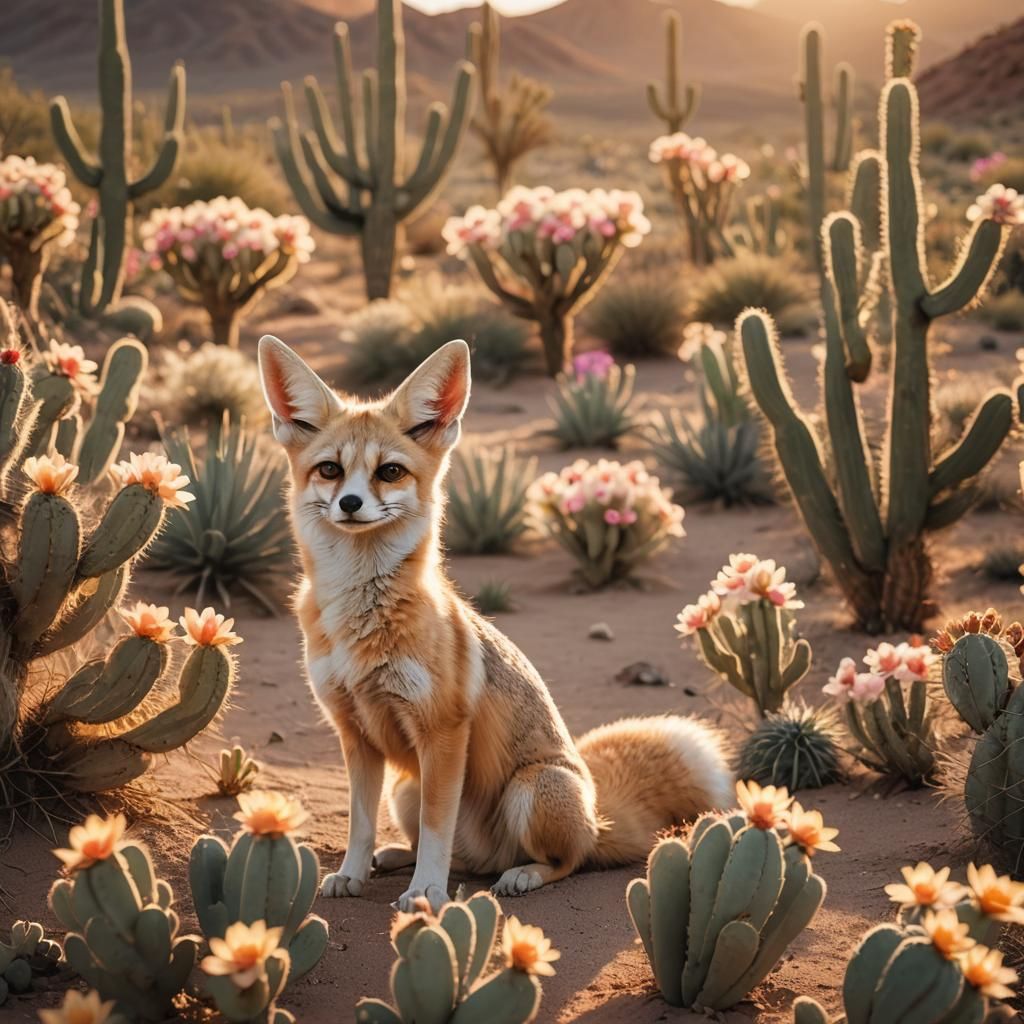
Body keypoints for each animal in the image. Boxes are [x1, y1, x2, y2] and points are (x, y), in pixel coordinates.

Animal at [257, 334, 733, 912]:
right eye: (330, 469)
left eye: (389, 472)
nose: (350, 503)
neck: (360, 620)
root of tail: (598, 818)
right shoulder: (354, 732)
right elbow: (360, 824)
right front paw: (353, 872)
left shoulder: (442, 730)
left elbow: (436, 828)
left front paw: (427, 894)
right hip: (405, 788)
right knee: (456, 857)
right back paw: (396, 858)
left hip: (531, 788)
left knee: (566, 862)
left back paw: (521, 874)